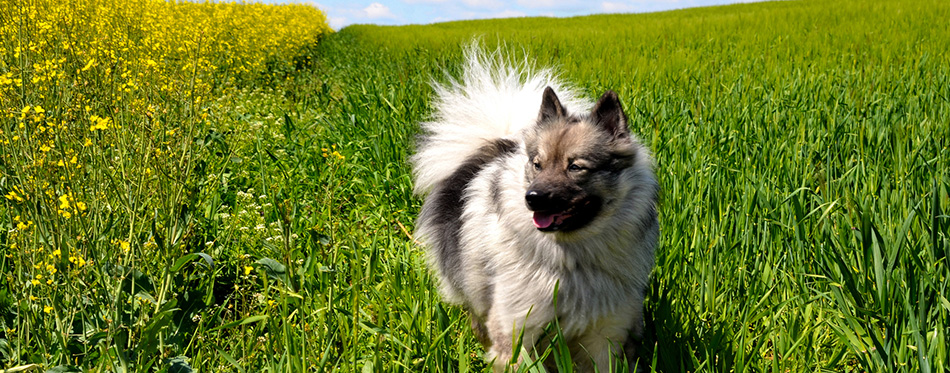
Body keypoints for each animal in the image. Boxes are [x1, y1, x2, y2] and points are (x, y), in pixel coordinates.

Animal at [412, 47, 660, 372]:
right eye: (537, 164)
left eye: (575, 167)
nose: (532, 198)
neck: (571, 262)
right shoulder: (516, 331)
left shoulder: (606, 337)